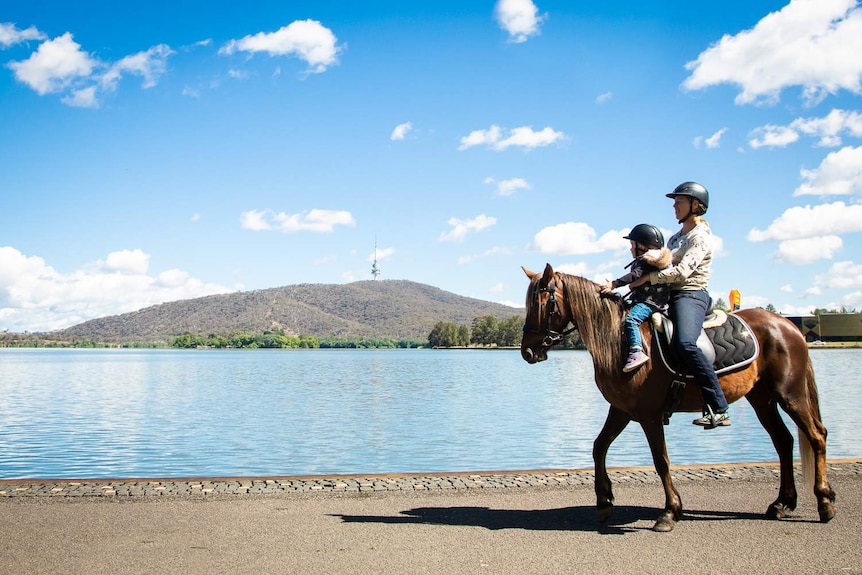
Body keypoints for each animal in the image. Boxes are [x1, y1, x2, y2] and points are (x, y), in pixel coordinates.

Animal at [520, 264, 836, 532]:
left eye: (541, 303)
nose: (527, 352)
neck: (621, 340)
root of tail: (788, 325)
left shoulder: (648, 414)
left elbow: (661, 460)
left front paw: (670, 511)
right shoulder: (621, 409)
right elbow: (599, 448)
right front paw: (604, 500)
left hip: (790, 394)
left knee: (816, 435)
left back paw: (824, 502)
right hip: (762, 398)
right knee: (784, 441)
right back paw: (782, 502)